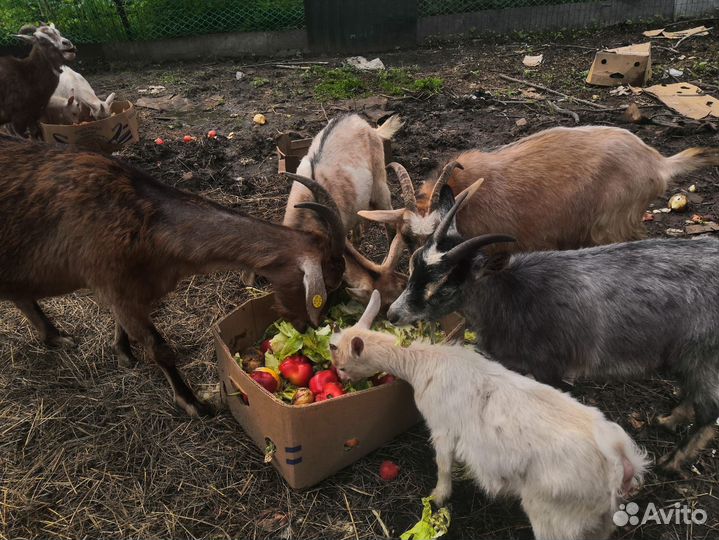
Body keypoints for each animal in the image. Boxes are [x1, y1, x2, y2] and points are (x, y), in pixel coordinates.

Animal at [0, 135, 345, 417]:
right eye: (327, 284)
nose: (306, 329)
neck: (145, 220)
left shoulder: (130, 289)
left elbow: (121, 323)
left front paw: (123, 353)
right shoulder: (113, 282)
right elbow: (160, 349)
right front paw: (193, 403)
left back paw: (56, 336)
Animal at [333, 290, 647, 540]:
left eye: (343, 366)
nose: (342, 381)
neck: (422, 364)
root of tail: (621, 462)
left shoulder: (442, 427)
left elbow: (443, 465)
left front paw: (438, 496)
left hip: (556, 515)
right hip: (597, 518)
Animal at [388, 184, 719, 473]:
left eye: (444, 287)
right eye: (414, 262)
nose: (392, 314)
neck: (511, 295)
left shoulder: (551, 367)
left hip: (703, 356)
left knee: (709, 413)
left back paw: (671, 462)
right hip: (686, 358)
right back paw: (668, 421)